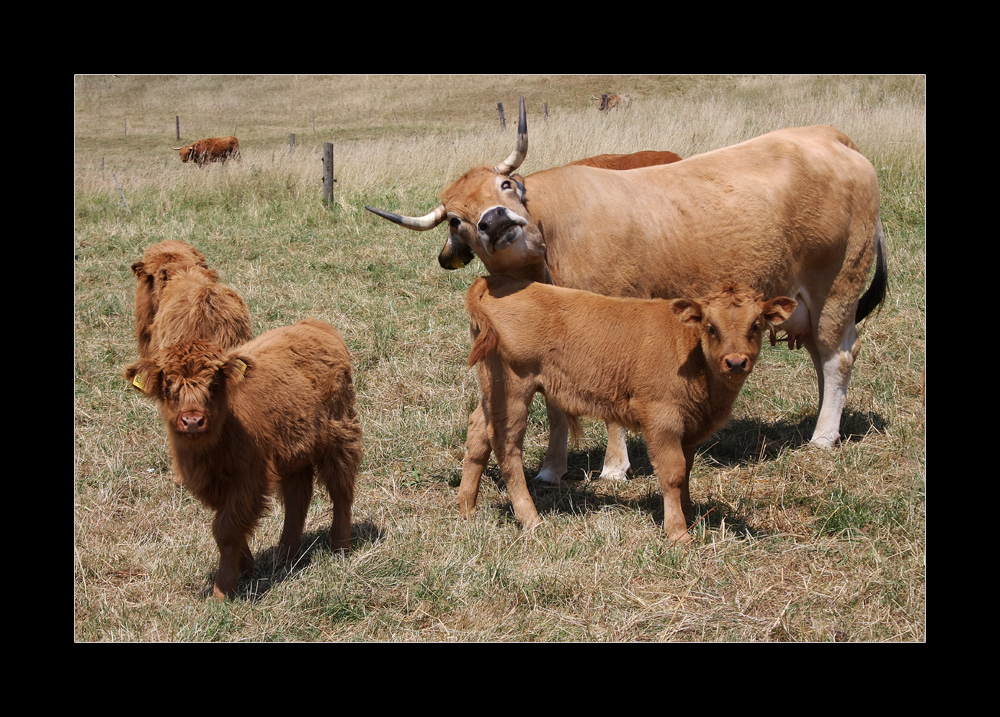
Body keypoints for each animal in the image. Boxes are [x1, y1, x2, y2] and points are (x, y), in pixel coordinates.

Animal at [368, 96, 892, 486]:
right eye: (457, 219)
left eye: (505, 186)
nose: (494, 221)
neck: (550, 244)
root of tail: (825, 134)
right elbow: (557, 407)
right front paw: (552, 469)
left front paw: (615, 467)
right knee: (824, 360)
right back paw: (823, 425)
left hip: (837, 287)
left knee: (837, 358)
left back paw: (822, 437)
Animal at [460, 276, 796, 544]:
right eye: (711, 327)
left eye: (756, 325)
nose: (736, 362)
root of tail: (494, 283)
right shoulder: (662, 418)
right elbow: (673, 472)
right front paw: (678, 533)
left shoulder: (689, 426)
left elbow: (686, 470)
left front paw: (689, 514)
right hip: (513, 389)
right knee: (506, 445)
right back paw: (531, 519)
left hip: (493, 390)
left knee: (477, 431)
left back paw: (466, 507)